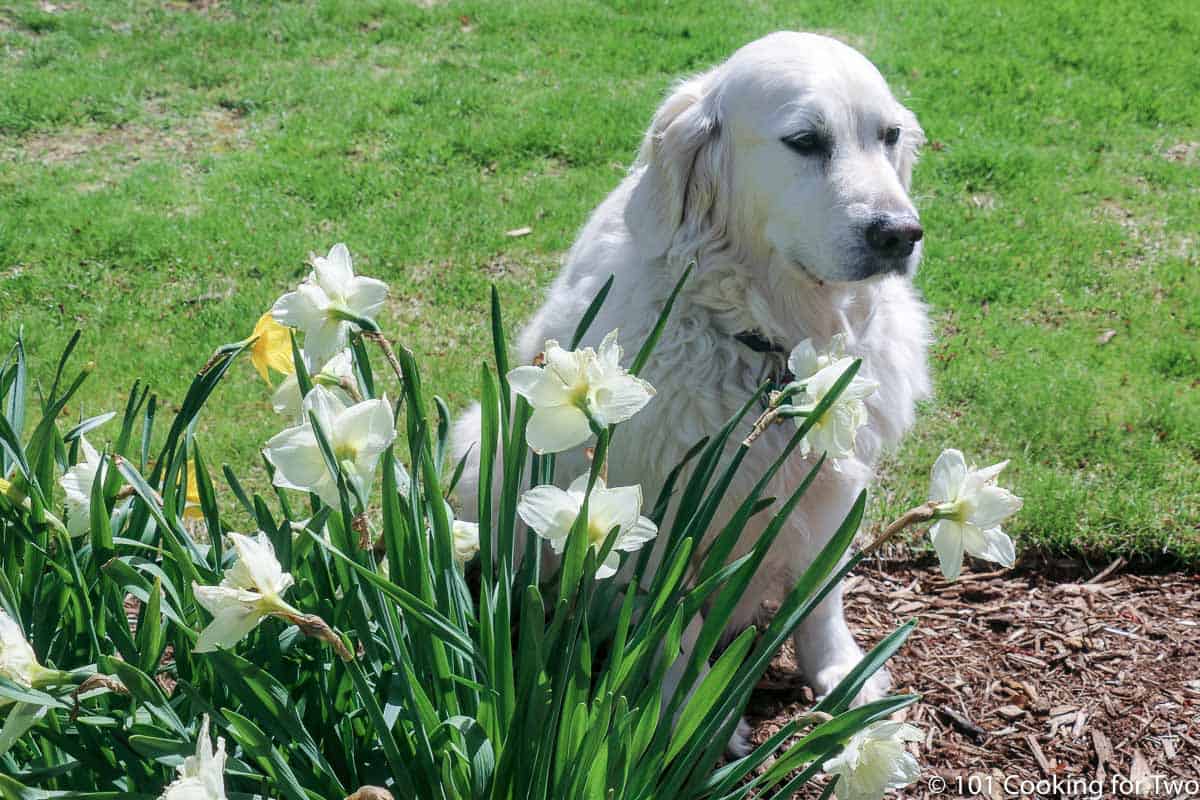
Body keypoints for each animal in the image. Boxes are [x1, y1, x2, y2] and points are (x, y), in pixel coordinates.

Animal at [451, 29, 926, 743]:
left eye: (889, 134)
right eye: (805, 140)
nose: (900, 234)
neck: (769, 341)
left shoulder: (833, 484)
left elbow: (821, 592)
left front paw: (844, 674)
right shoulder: (658, 502)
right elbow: (670, 624)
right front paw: (688, 714)